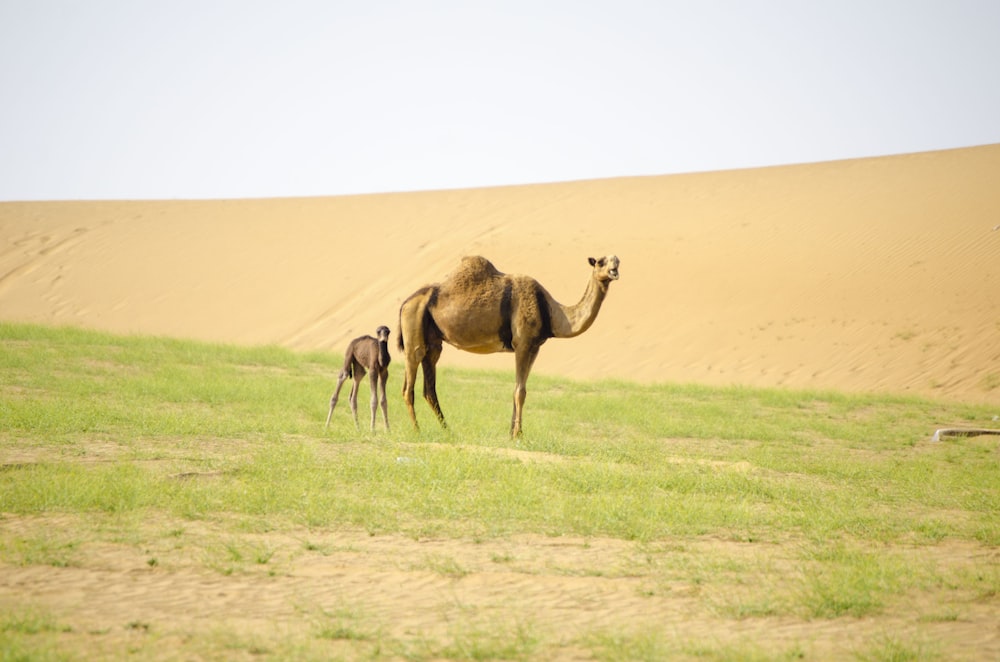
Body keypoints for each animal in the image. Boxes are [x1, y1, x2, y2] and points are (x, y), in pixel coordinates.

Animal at [396, 256, 616, 438]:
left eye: (617, 260)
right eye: (601, 262)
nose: (614, 270)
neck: (552, 312)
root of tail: (405, 302)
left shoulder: (534, 347)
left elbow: (518, 389)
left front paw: (513, 432)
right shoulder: (523, 343)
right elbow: (520, 391)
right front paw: (518, 435)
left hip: (433, 342)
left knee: (429, 387)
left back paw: (447, 430)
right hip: (413, 327)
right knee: (409, 384)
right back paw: (417, 430)